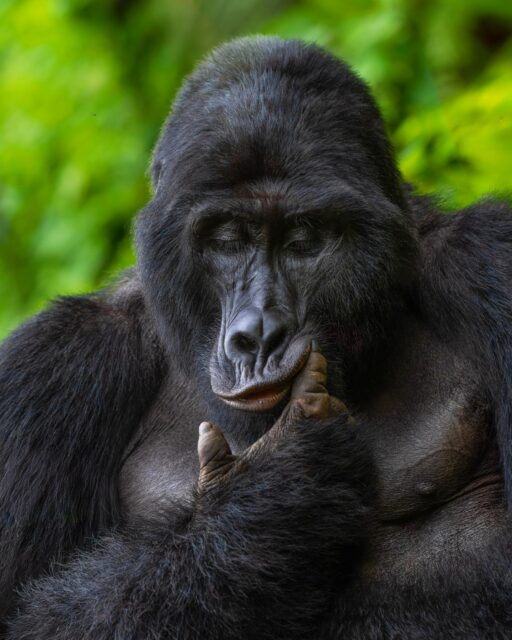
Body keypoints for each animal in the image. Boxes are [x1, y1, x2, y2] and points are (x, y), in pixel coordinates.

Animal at [1, 36, 512, 640]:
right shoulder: (51, 368)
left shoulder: (489, 260)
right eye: (227, 238)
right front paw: (276, 498)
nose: (258, 336)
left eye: (304, 238)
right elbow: (23, 614)